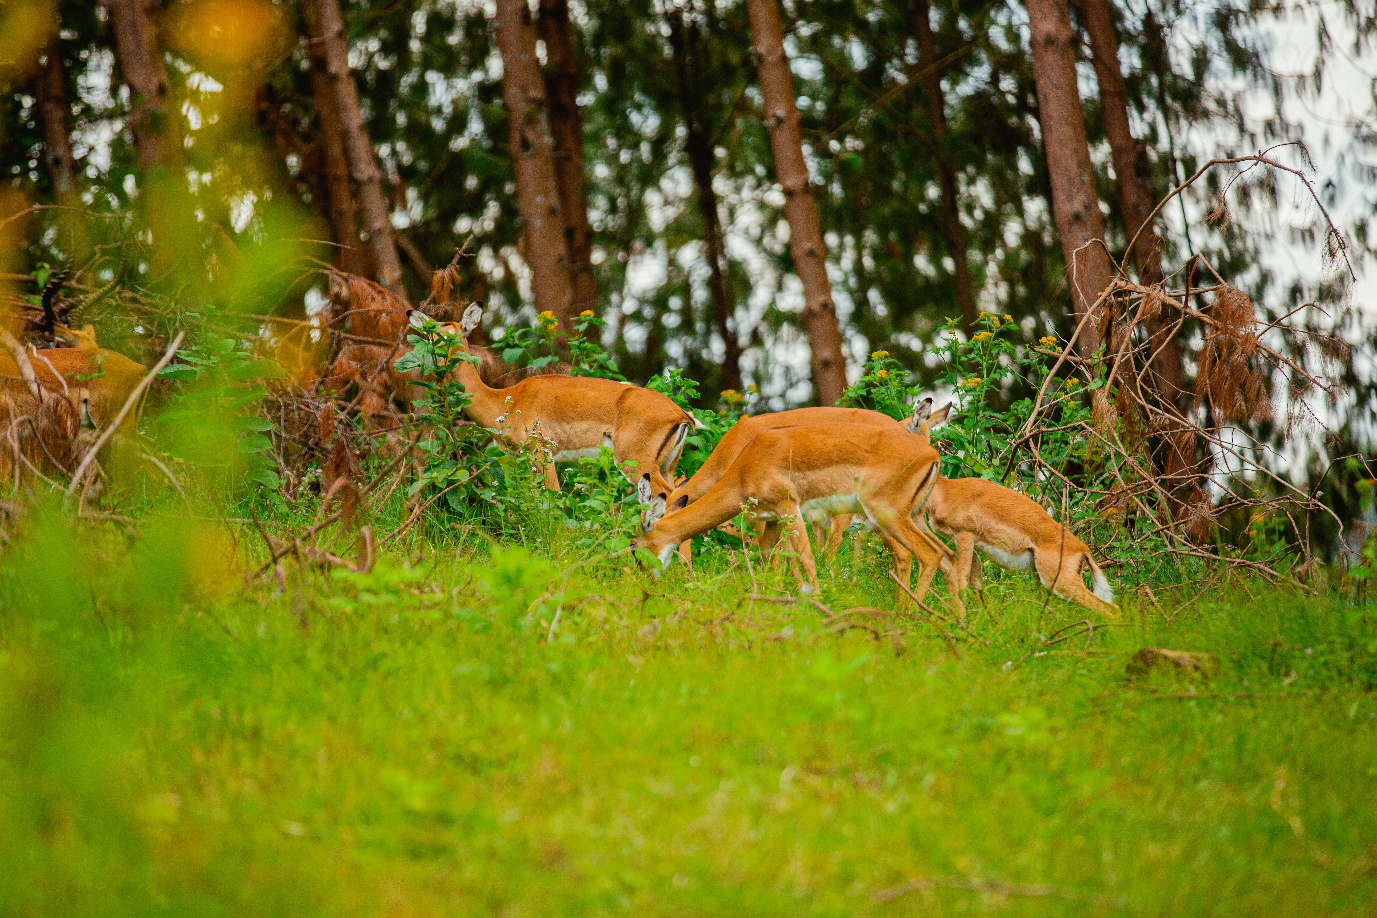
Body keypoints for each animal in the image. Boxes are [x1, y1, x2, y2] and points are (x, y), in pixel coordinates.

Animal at [421, 303, 696, 497]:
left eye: (454, 337)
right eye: (429, 337)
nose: (436, 366)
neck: (505, 402)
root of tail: (681, 415)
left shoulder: (542, 452)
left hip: (637, 464)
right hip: (666, 467)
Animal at [632, 412, 950, 606]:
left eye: (635, 548)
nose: (647, 585)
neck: (743, 462)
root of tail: (930, 454)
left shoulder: (788, 509)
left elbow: (805, 559)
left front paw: (817, 603)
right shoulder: (772, 519)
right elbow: (771, 560)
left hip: (884, 515)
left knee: (925, 554)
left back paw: (907, 613)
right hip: (912, 517)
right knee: (945, 555)